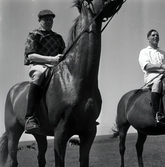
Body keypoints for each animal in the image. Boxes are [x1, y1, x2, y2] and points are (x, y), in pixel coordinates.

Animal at [0, 0, 124, 167]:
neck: (74, 78)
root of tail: (13, 91)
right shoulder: (61, 132)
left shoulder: (89, 132)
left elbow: (84, 161)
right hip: (14, 132)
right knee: (12, 160)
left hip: (39, 134)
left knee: (41, 158)